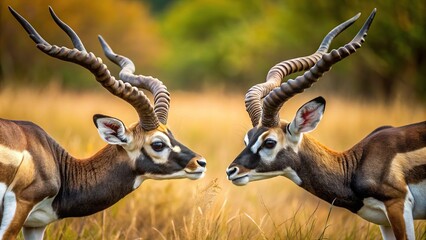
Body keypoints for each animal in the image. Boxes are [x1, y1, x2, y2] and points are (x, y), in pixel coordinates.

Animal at [0, 6, 206, 239]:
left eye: (171, 133)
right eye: (158, 144)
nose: (200, 162)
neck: (58, 165)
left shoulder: (36, 224)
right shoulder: (20, 205)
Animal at [228, 8, 426, 240]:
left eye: (269, 142)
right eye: (247, 139)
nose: (232, 171)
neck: (353, 166)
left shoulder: (398, 206)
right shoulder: (384, 221)